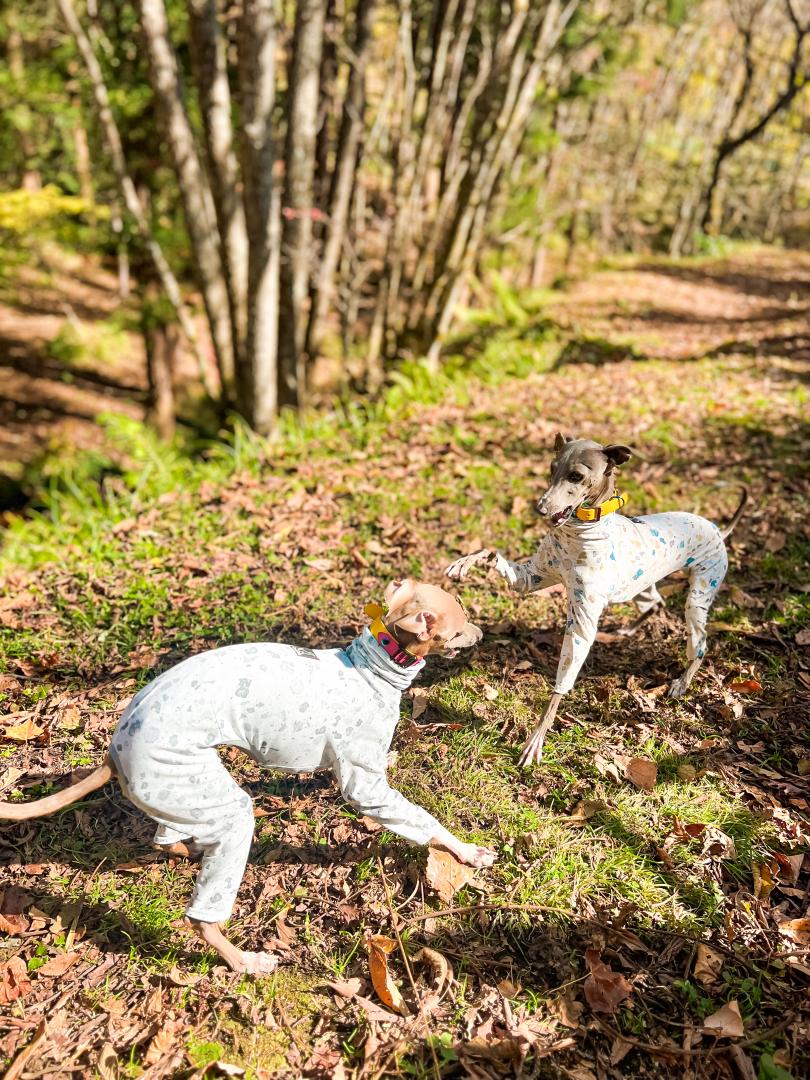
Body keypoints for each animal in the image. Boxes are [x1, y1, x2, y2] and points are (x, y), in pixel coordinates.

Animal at [451, 434, 747, 764]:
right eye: (552, 468)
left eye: (576, 476)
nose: (541, 508)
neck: (582, 530)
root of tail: (718, 528)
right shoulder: (530, 577)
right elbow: (491, 555)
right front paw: (465, 562)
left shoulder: (582, 621)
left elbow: (560, 686)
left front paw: (536, 739)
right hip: (639, 583)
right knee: (655, 603)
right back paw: (630, 630)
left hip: (699, 594)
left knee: (700, 642)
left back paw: (683, 681)